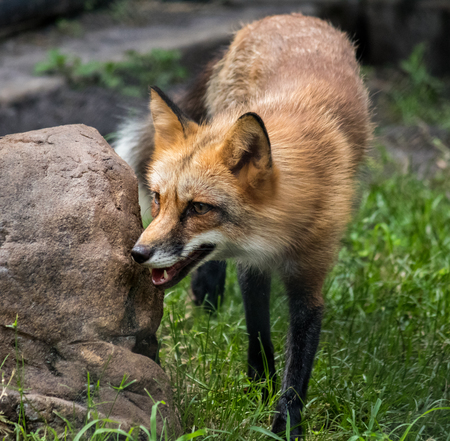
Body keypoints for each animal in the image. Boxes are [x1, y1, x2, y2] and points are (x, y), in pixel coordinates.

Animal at [115, 12, 370, 436]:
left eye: (199, 208)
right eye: (157, 198)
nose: (137, 253)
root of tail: (284, 17)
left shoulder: (310, 274)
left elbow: (299, 361)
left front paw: (285, 423)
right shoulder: (252, 265)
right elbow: (258, 329)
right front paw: (259, 383)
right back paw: (207, 296)